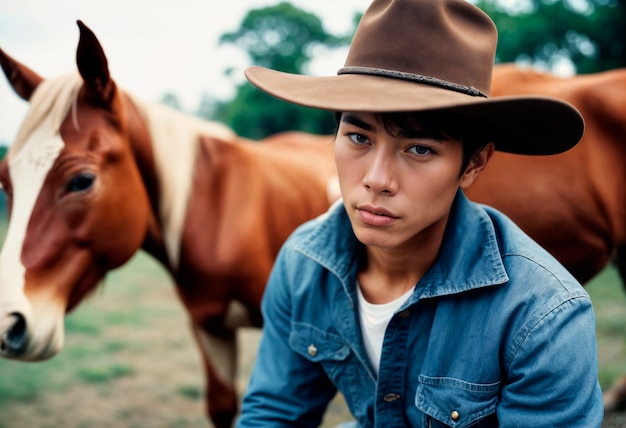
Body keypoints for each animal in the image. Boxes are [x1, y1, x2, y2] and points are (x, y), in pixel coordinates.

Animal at [0, 21, 336, 426]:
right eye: (4, 181)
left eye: (81, 181)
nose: (7, 324)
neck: (214, 213)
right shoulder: (210, 327)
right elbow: (224, 405)